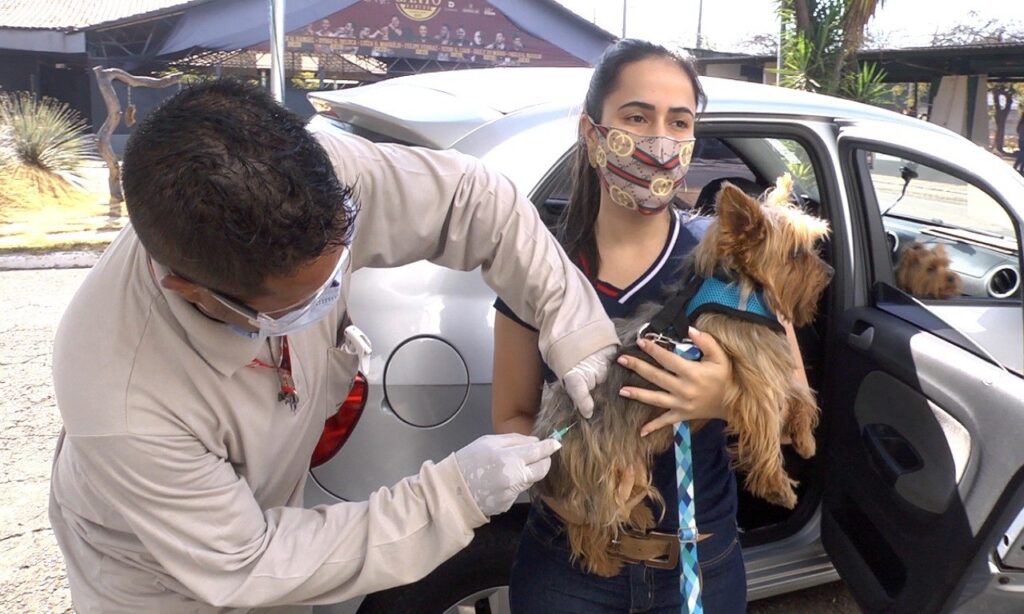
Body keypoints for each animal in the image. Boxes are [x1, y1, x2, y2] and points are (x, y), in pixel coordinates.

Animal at [536, 176, 831, 577]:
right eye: (797, 254)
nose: (830, 273)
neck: (738, 289)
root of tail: (546, 436)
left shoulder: (767, 363)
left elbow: (800, 391)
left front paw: (803, 437)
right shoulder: (754, 373)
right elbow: (768, 422)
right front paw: (777, 485)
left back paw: (639, 514)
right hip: (601, 470)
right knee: (591, 524)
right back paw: (604, 561)